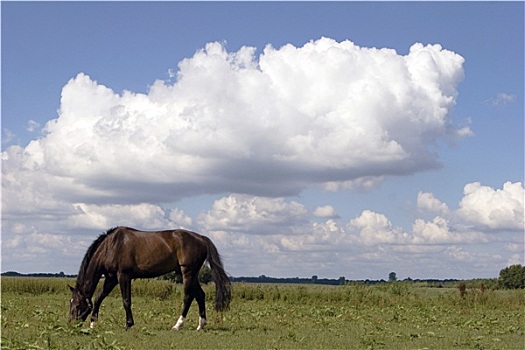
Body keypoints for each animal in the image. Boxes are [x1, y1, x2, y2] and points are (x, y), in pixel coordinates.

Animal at [66, 227, 230, 330]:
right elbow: (99, 297)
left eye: (77, 304)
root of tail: (201, 238)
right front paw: (93, 323)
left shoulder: (123, 276)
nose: (71, 323)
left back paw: (177, 325)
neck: (111, 246)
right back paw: (201, 325)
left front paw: (129, 324)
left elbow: (126, 301)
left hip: (187, 273)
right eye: (70, 302)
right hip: (192, 274)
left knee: (188, 297)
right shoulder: (111, 278)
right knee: (200, 295)